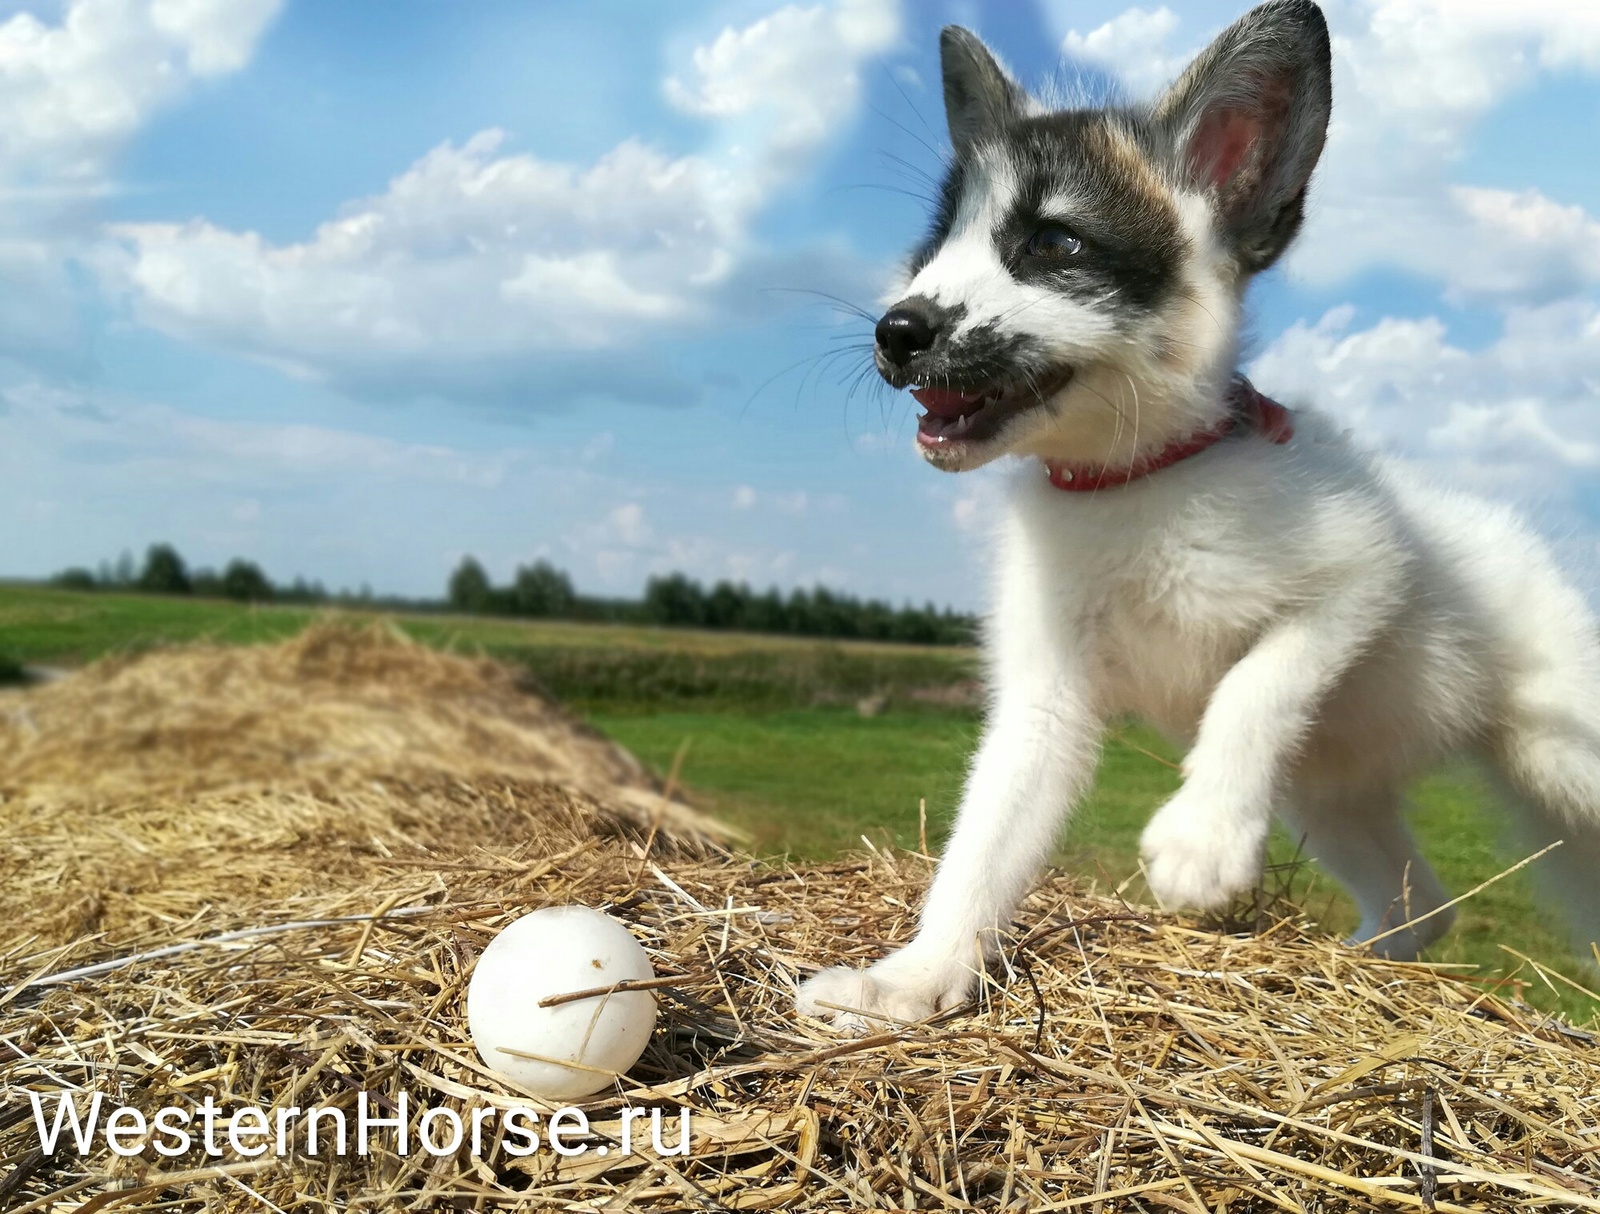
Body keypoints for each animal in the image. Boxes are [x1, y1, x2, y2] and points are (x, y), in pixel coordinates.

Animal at [806, 0, 1600, 1030]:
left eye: (1054, 244)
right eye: (934, 243)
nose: (896, 331)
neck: (1139, 489)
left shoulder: (1362, 570)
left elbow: (1256, 683)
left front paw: (1202, 837)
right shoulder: (1045, 703)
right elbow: (983, 844)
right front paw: (914, 977)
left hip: (1560, 752)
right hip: (1327, 792)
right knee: (1421, 902)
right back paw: (1361, 960)